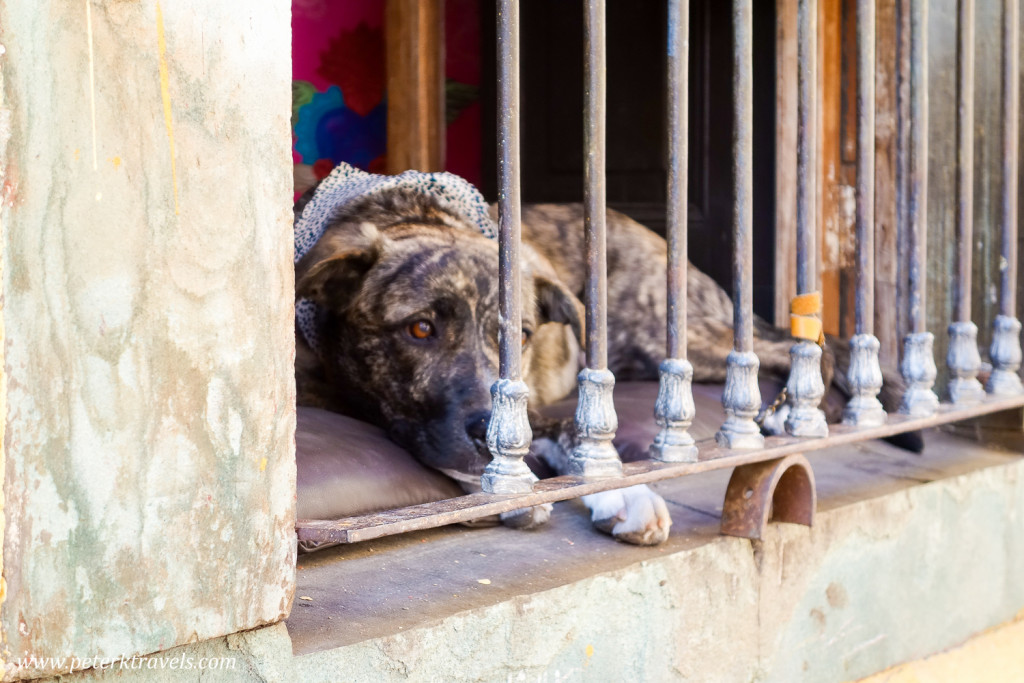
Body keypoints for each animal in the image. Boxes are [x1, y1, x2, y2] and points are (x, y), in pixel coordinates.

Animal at [294, 167, 905, 548]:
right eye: (420, 328)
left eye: (519, 335)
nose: (485, 431)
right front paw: (506, 492)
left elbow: (572, 436)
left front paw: (622, 492)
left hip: (663, 336)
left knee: (798, 345)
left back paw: (784, 413)